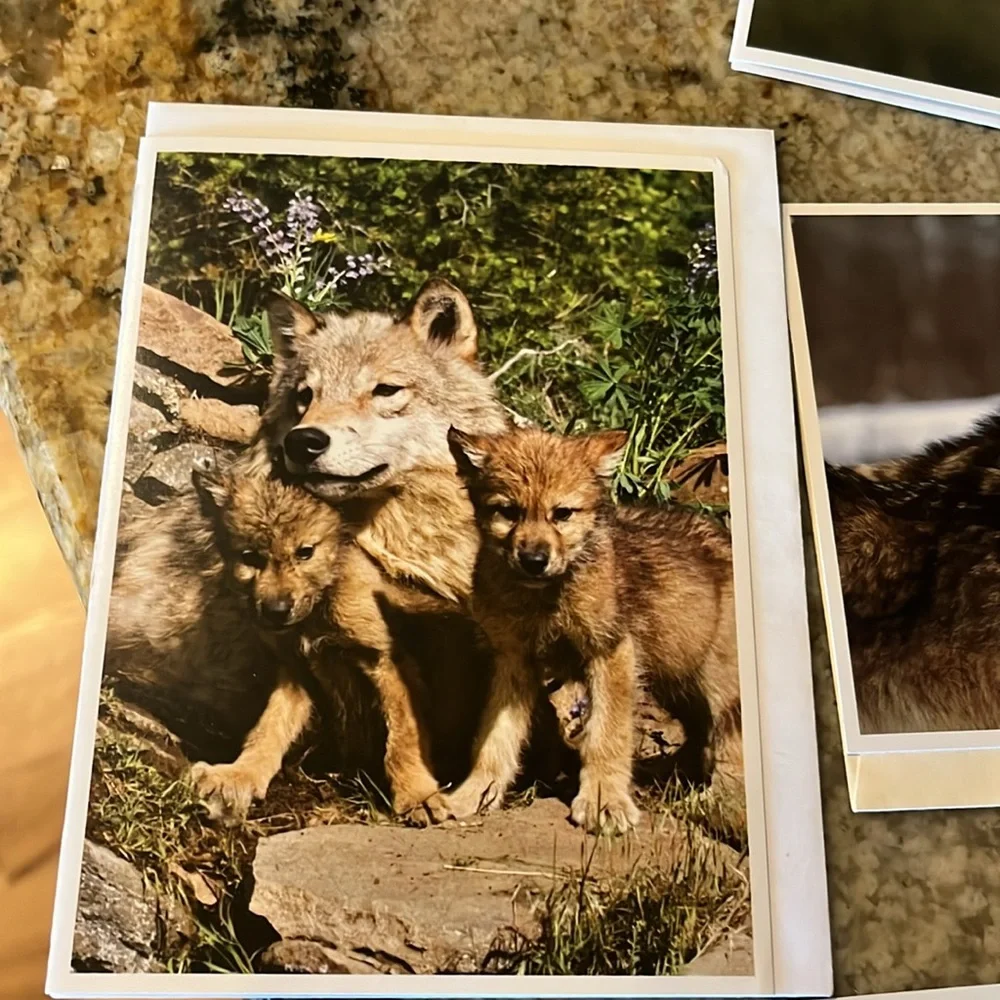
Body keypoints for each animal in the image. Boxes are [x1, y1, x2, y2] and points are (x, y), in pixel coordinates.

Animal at [445, 427, 741, 833]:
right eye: (508, 512)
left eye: (562, 514)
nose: (534, 560)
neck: (546, 599)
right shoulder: (514, 660)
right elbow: (494, 739)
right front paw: (474, 794)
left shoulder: (610, 651)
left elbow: (608, 733)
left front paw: (604, 801)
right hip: (677, 681)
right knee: (701, 738)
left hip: (717, 686)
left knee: (730, 746)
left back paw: (712, 804)